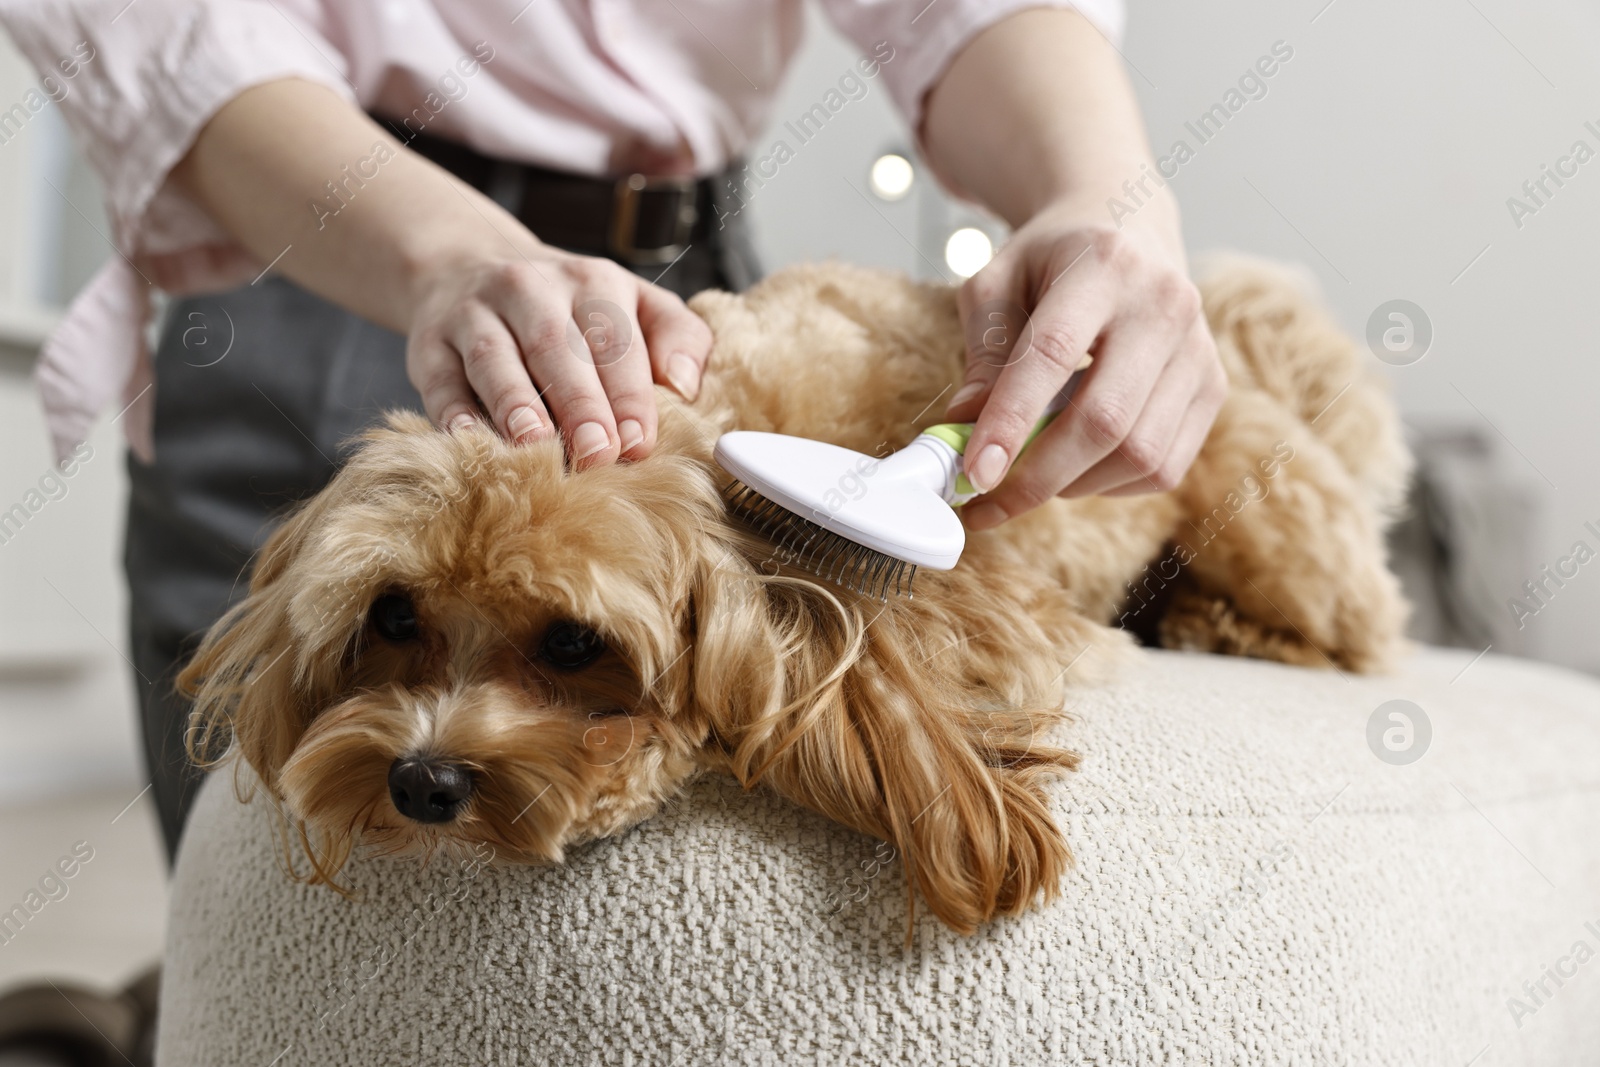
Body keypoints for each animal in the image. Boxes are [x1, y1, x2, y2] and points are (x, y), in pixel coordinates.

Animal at [187, 255, 1408, 934]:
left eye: (574, 642)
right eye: (393, 616)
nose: (422, 779)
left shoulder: (989, 604)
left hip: (1277, 526)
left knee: (1368, 639)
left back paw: (1231, 626)